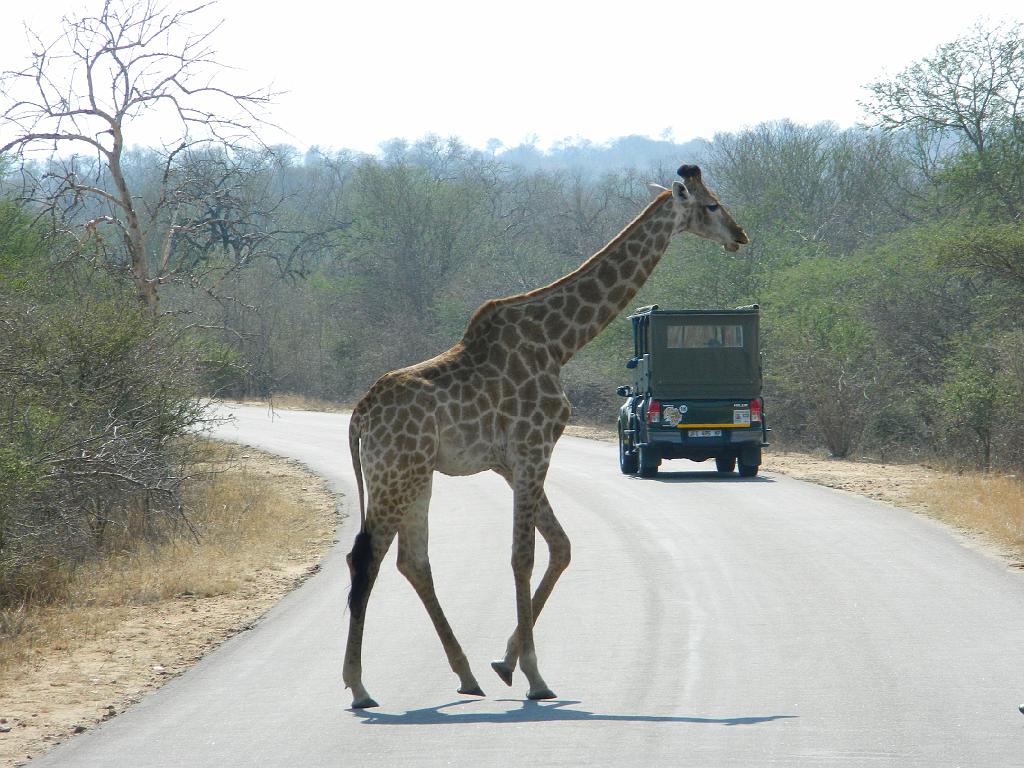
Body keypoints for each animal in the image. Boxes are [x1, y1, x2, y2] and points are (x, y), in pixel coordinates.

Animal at [342, 162, 745, 708]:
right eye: (711, 205)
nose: (740, 236)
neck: (560, 342)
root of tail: (360, 415)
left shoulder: (512, 461)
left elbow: (561, 547)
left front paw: (505, 663)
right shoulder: (534, 448)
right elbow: (524, 555)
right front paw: (535, 675)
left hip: (416, 475)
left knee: (413, 559)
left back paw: (466, 674)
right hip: (394, 473)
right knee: (366, 556)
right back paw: (359, 685)